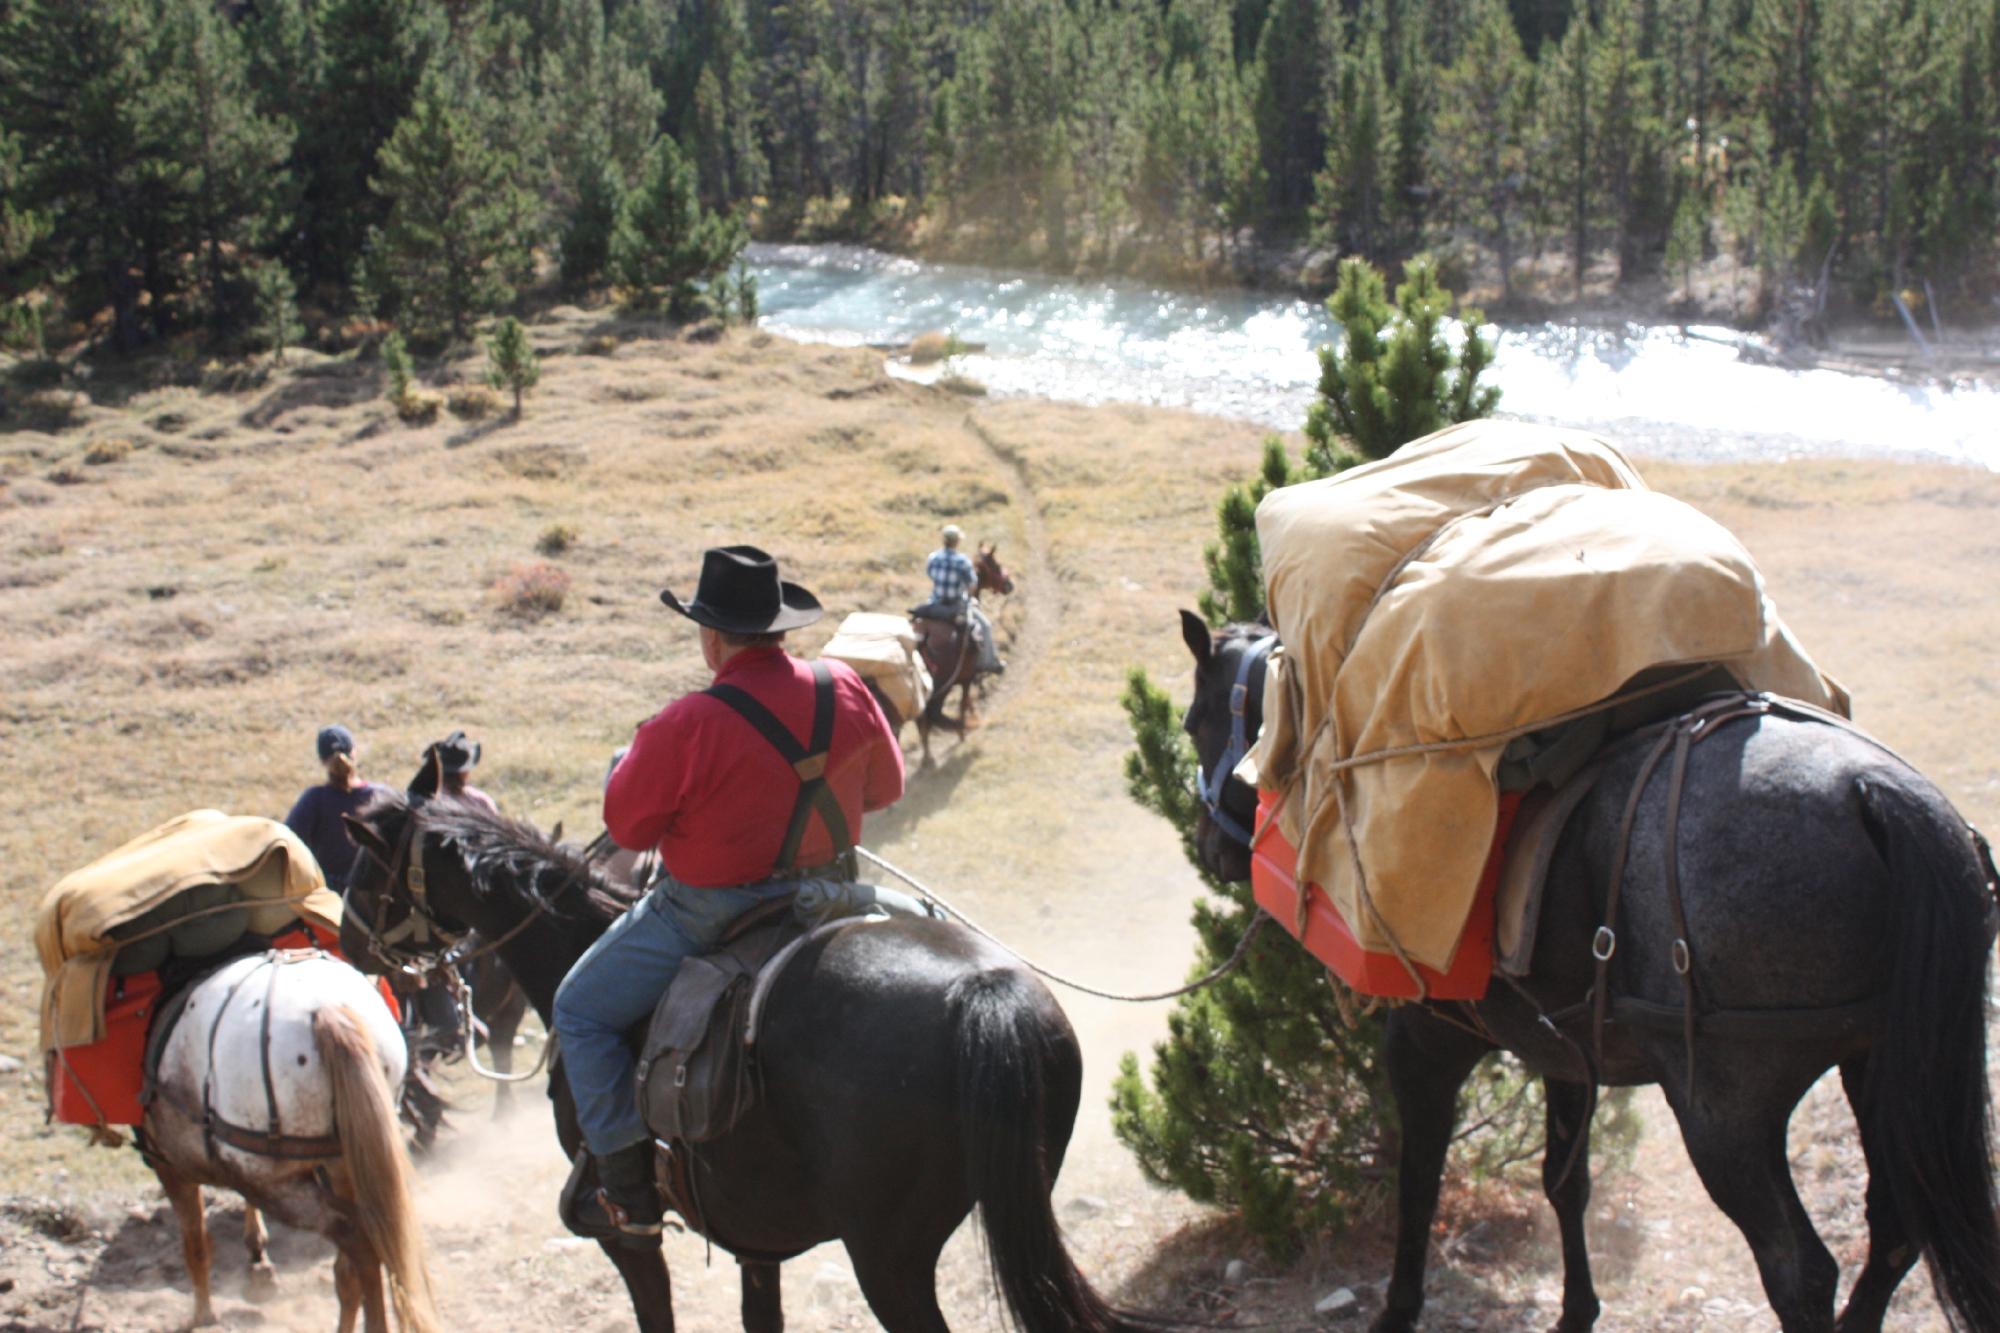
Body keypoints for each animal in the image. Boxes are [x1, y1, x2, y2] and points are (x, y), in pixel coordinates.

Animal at [142, 948, 442, 1320]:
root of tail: (327, 1011)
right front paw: (257, 1258)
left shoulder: (170, 1167)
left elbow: (195, 1244)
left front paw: (203, 1315)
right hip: (347, 1160)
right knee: (360, 1255)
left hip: (275, 1183)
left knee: (359, 1242)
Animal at [1168, 612, 2000, 1328]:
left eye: (1194, 720)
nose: (1211, 845)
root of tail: (1875, 793)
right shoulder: (1565, 1048)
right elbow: (1565, 1182)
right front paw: (1576, 1311)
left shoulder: (1429, 1042)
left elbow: (1419, 1177)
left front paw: (1398, 1309)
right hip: (1881, 1065)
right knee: (1896, 1224)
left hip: (1725, 1113)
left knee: (1801, 1269)